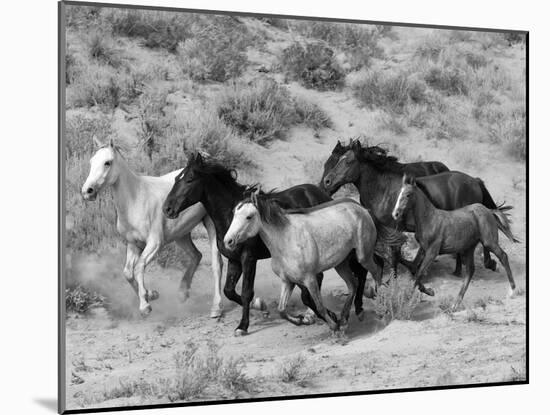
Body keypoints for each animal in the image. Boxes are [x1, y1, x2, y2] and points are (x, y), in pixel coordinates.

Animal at [81, 138, 223, 316]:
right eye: (91, 161)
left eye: (107, 162)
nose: (87, 191)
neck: (136, 201)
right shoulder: (133, 244)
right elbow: (128, 273)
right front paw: (151, 295)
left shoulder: (155, 243)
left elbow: (139, 267)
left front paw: (145, 306)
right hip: (181, 234)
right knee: (196, 255)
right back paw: (182, 293)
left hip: (211, 226)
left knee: (217, 264)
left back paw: (216, 308)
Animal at [224, 192, 384, 334]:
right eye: (234, 214)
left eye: (249, 216)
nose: (228, 241)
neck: (285, 240)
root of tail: (362, 209)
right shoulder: (287, 281)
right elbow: (281, 310)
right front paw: (300, 320)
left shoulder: (310, 279)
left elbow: (319, 306)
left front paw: (334, 327)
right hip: (341, 263)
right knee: (353, 284)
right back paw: (344, 319)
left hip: (363, 256)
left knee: (376, 272)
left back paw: (380, 306)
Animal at [322, 140, 502, 292]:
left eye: (348, 161)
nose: (326, 182)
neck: (384, 191)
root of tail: (475, 181)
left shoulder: (393, 228)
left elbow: (395, 254)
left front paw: (394, 280)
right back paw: (458, 270)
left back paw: (487, 264)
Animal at [394, 174, 520, 310]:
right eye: (399, 193)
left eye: (408, 194)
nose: (395, 214)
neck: (429, 219)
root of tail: (488, 210)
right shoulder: (423, 249)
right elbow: (416, 271)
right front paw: (430, 292)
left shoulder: (432, 252)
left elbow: (419, 273)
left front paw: (407, 301)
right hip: (470, 247)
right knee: (470, 270)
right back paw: (456, 303)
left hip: (489, 242)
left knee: (503, 256)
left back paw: (512, 291)